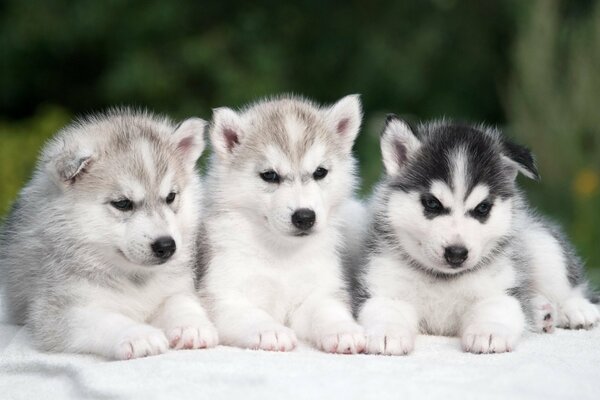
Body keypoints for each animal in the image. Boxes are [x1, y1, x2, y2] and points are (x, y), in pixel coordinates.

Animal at [0, 108, 219, 360]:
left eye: (171, 197)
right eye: (122, 203)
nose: (166, 246)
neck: (135, 278)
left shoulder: (176, 287)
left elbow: (181, 302)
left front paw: (191, 326)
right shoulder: (62, 311)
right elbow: (107, 320)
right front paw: (139, 336)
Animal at [199, 94, 366, 354]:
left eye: (320, 172)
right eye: (270, 175)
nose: (305, 217)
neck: (282, 253)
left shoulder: (319, 291)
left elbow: (327, 310)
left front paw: (343, 330)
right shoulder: (222, 293)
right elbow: (251, 314)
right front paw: (270, 331)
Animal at [356, 117, 600, 354]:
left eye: (482, 208)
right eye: (433, 204)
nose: (456, 253)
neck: (445, 279)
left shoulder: (500, 292)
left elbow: (494, 310)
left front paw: (489, 333)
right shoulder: (385, 289)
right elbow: (387, 309)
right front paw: (388, 333)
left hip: (544, 246)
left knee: (567, 286)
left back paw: (575, 309)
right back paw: (542, 311)